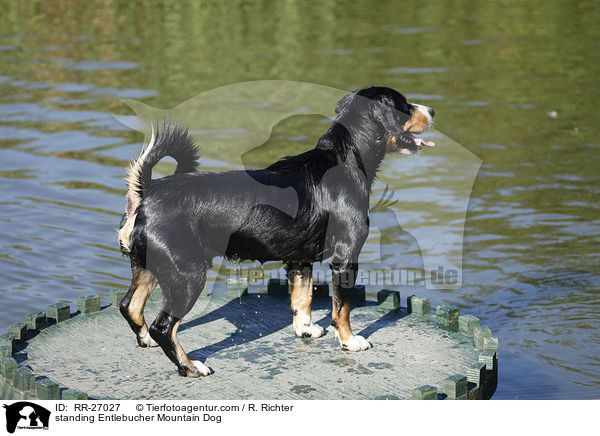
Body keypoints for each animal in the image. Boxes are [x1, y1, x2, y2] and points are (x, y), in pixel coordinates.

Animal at [118, 86, 436, 378]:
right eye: (405, 106)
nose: (432, 110)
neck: (345, 160)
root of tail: (148, 192)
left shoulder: (300, 258)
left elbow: (303, 298)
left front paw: (305, 330)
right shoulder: (346, 257)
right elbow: (341, 309)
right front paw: (349, 341)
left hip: (149, 267)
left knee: (129, 306)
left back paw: (146, 341)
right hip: (187, 276)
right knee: (164, 327)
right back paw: (189, 366)